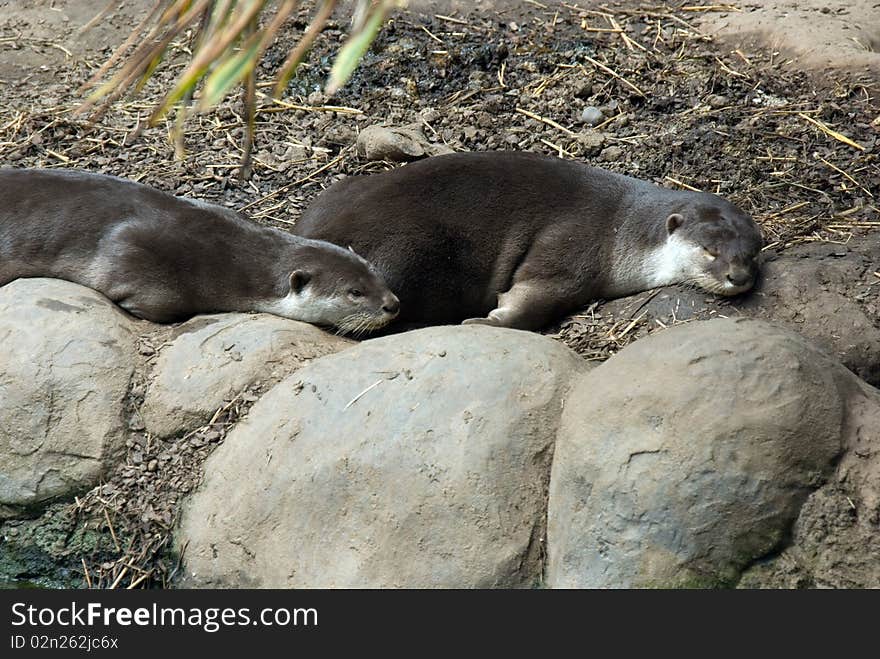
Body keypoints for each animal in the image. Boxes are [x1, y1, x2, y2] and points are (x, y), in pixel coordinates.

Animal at [298, 150, 764, 330]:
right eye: (710, 251)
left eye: (751, 253)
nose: (738, 277)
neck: (621, 229)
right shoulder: (573, 246)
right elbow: (535, 295)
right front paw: (487, 322)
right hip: (406, 250)